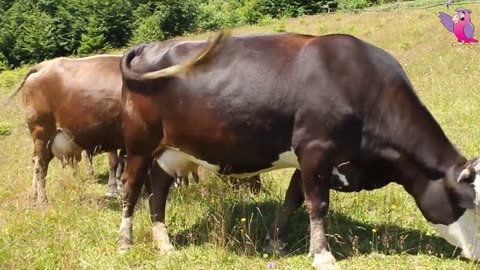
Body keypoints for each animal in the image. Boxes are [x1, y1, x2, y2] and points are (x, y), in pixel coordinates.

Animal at [118, 30, 480, 268]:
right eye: (468, 204)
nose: (478, 255)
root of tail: (152, 45)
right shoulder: (316, 150)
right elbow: (317, 205)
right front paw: (322, 254)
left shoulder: (310, 160)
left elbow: (292, 200)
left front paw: (275, 243)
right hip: (139, 144)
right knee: (132, 189)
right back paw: (125, 241)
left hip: (171, 151)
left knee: (158, 190)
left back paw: (165, 244)